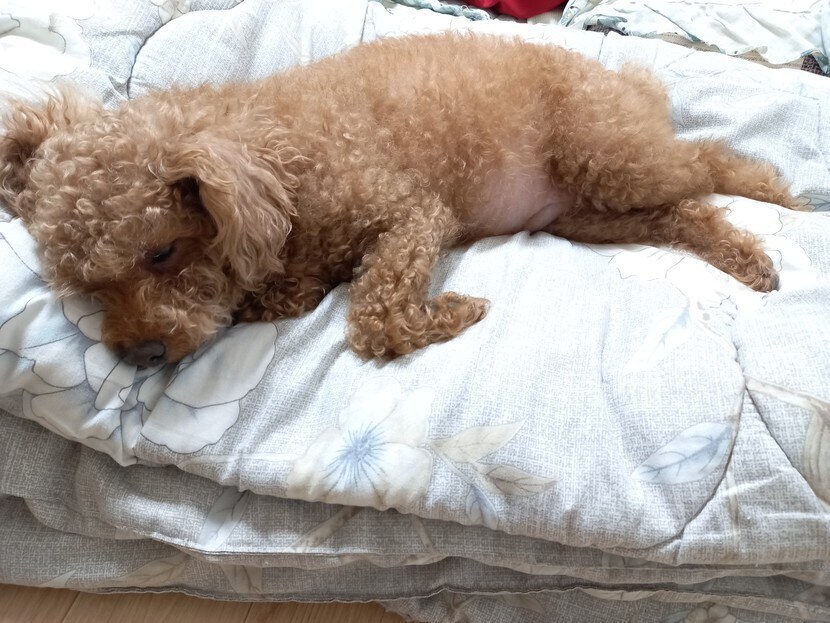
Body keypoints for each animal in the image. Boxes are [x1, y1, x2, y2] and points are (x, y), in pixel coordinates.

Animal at [0, 33, 799, 367]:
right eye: (87, 286)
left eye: (161, 251)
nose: (139, 355)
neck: (280, 162)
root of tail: (626, 83)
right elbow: (287, 294)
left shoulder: (413, 215)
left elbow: (375, 316)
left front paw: (453, 311)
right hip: (590, 213)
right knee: (683, 209)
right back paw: (744, 256)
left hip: (610, 157)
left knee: (702, 162)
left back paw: (776, 198)